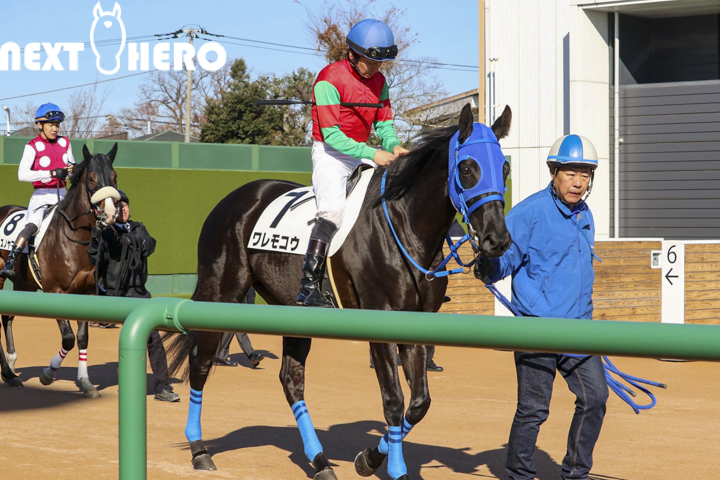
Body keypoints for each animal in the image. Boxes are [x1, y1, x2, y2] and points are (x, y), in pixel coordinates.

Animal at [0, 144, 119, 397]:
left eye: (114, 176)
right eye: (92, 178)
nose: (110, 213)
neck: (75, 238)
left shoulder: (88, 293)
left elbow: (82, 338)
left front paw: (85, 382)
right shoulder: (55, 291)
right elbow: (68, 339)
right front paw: (47, 373)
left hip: (23, 283)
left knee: (7, 316)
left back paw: (11, 367)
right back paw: (8, 372)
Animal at [165, 103, 512, 480]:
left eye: (505, 168)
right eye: (466, 168)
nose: (497, 240)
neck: (403, 227)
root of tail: (233, 199)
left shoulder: (417, 324)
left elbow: (419, 404)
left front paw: (368, 458)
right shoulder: (381, 322)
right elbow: (394, 402)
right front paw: (392, 469)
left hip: (292, 311)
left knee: (291, 380)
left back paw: (320, 462)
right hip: (221, 292)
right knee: (200, 364)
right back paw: (199, 449)